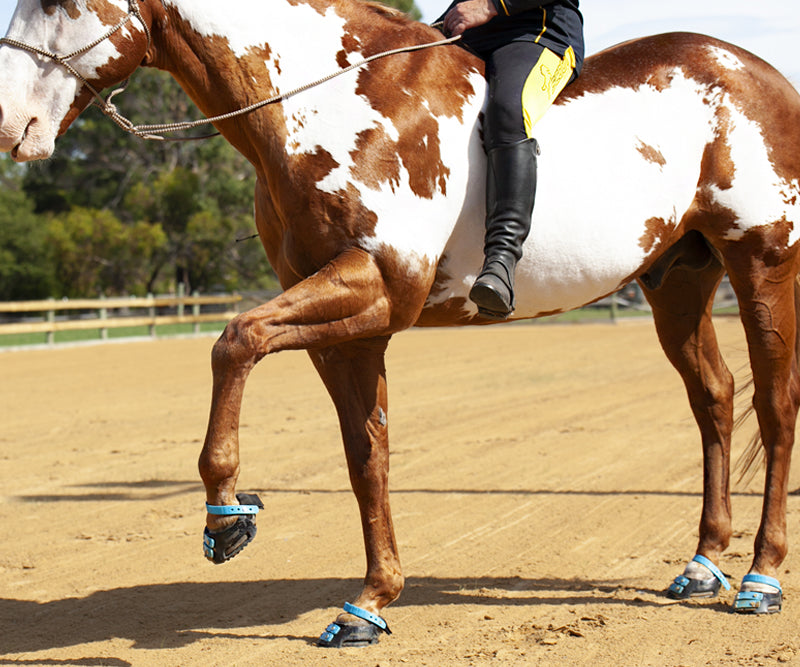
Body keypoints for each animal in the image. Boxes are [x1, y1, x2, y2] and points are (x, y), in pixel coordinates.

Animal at [1, 0, 800, 648]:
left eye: (62, 1)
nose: (9, 128)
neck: (329, 99)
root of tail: (757, 71)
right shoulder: (351, 326)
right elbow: (366, 455)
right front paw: (370, 601)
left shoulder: (379, 287)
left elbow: (235, 342)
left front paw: (227, 514)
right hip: (680, 279)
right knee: (715, 397)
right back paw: (703, 563)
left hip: (763, 266)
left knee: (775, 405)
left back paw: (760, 578)